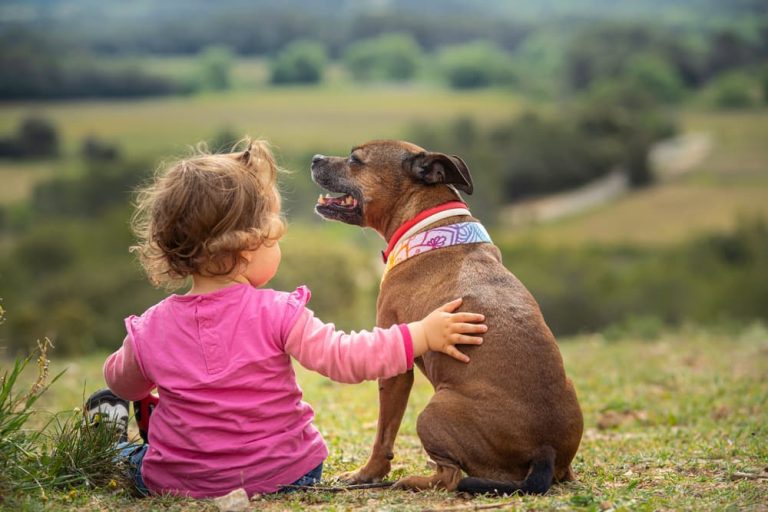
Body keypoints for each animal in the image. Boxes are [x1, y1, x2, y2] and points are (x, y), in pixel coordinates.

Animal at [308, 141, 580, 496]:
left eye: (355, 159)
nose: (315, 158)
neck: (429, 230)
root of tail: (543, 451)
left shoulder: (396, 367)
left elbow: (384, 433)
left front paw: (366, 474)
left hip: (432, 412)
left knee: (450, 477)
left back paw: (413, 481)